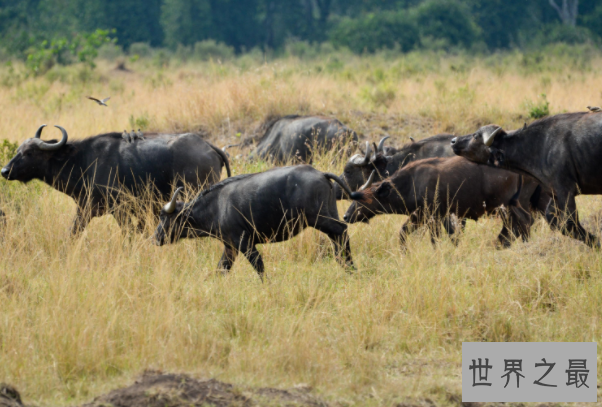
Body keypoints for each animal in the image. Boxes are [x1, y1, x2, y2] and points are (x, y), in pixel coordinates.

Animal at [0, 126, 230, 236]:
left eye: (29, 153)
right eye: (18, 150)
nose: (5, 170)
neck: (83, 161)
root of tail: (209, 146)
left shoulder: (120, 209)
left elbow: (129, 233)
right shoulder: (85, 209)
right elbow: (73, 233)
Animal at [152, 165, 354, 280]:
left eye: (165, 217)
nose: (155, 238)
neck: (217, 206)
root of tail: (320, 173)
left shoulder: (244, 242)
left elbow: (259, 265)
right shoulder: (230, 248)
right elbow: (221, 269)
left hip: (319, 219)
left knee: (342, 230)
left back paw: (351, 267)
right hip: (328, 215)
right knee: (338, 237)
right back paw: (346, 266)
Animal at [450, 111, 600, 249]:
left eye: (476, 136)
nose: (453, 141)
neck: (540, 145)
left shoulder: (565, 190)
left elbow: (569, 223)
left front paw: (597, 243)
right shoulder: (554, 193)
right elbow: (553, 220)